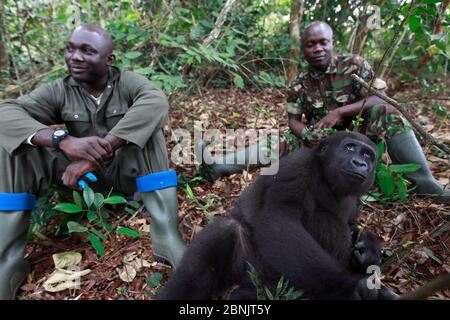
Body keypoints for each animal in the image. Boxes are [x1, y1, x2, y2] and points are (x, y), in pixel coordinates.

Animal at [157, 131, 394, 300]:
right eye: (349, 147)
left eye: (368, 155)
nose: (360, 163)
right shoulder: (297, 165)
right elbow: (280, 221)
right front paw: (352, 286)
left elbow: (352, 226)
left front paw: (369, 249)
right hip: (253, 269)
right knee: (221, 236)